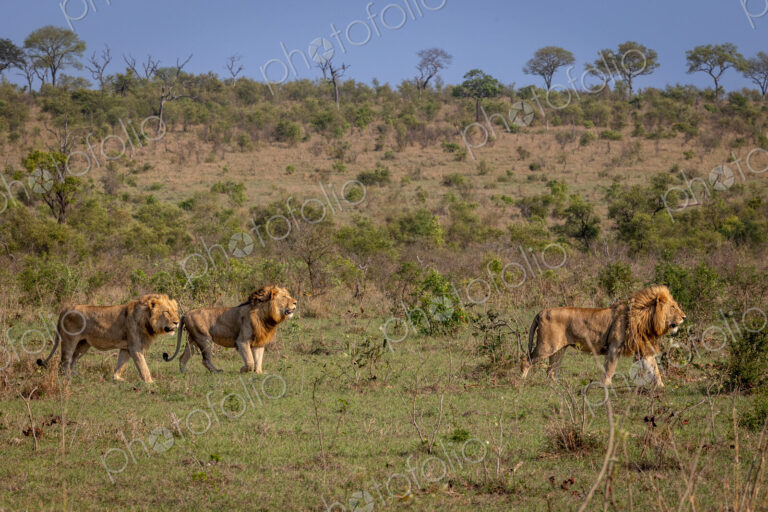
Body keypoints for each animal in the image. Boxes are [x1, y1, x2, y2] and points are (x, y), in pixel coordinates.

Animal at [37, 294, 180, 383]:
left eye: (175, 311)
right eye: (166, 312)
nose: (177, 322)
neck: (146, 319)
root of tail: (65, 308)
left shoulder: (126, 348)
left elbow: (121, 364)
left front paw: (116, 378)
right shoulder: (134, 346)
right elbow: (142, 365)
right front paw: (150, 382)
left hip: (83, 344)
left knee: (73, 360)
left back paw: (78, 376)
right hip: (69, 340)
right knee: (65, 361)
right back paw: (68, 377)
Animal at [163, 285, 296, 374]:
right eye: (285, 297)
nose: (295, 302)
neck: (266, 316)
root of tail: (186, 313)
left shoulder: (259, 343)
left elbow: (258, 360)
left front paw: (259, 373)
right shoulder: (242, 341)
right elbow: (250, 361)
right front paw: (243, 370)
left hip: (193, 341)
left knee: (183, 358)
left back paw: (183, 373)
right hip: (205, 339)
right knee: (205, 360)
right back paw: (217, 371)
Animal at [520, 285, 686, 388]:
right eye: (673, 307)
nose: (684, 317)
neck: (644, 316)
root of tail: (541, 311)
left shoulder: (642, 350)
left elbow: (654, 369)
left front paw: (661, 386)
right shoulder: (614, 348)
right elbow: (610, 369)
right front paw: (606, 386)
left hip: (559, 349)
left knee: (551, 370)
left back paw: (557, 386)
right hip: (547, 346)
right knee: (527, 360)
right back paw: (522, 379)